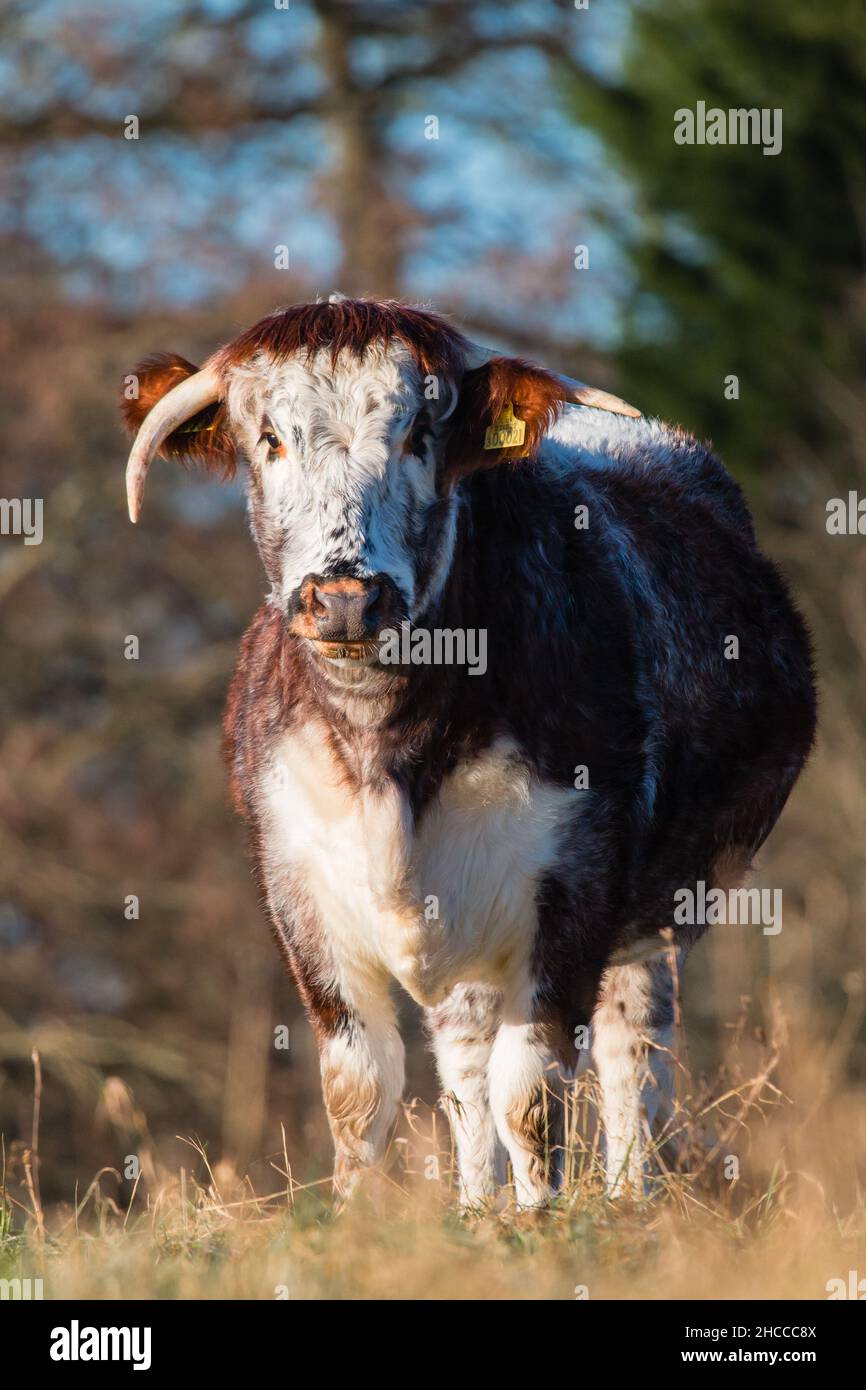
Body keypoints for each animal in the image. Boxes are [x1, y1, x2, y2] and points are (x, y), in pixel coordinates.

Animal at [121, 296, 816, 1209]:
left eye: (419, 433)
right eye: (267, 436)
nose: (345, 598)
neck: (388, 744)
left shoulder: (573, 887)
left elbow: (533, 1090)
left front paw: (543, 1220)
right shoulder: (299, 894)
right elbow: (362, 1087)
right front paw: (359, 1219)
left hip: (663, 906)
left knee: (632, 1048)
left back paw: (628, 1200)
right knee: (464, 1063)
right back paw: (477, 1206)